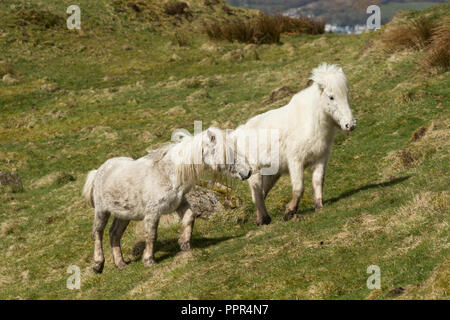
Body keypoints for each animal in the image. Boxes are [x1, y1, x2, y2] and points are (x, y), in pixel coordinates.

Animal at [82, 127, 251, 272]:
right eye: (227, 152)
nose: (248, 172)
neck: (168, 173)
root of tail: (99, 171)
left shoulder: (179, 203)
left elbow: (190, 217)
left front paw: (184, 244)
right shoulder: (153, 213)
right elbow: (151, 235)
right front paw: (149, 260)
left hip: (124, 214)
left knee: (114, 234)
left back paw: (121, 264)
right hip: (102, 211)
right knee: (97, 233)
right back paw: (98, 265)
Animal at [232, 63, 356, 225]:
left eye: (346, 94)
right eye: (331, 97)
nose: (350, 125)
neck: (311, 122)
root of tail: (239, 132)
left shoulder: (320, 158)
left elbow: (318, 181)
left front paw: (319, 207)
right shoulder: (296, 161)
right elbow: (298, 187)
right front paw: (289, 212)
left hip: (272, 173)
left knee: (261, 193)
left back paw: (261, 218)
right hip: (254, 171)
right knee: (257, 194)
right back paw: (263, 219)